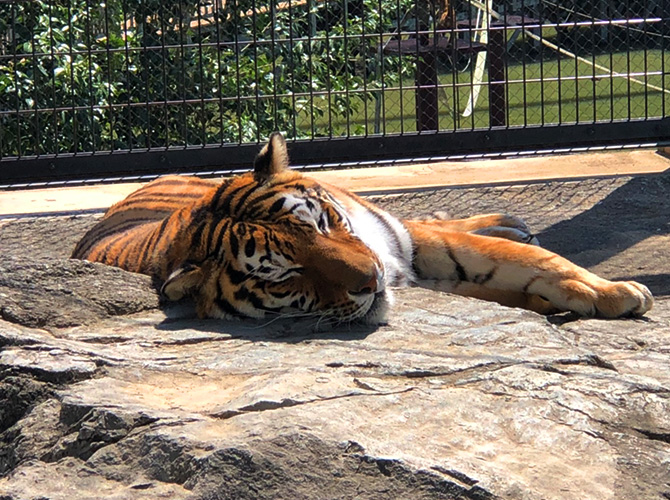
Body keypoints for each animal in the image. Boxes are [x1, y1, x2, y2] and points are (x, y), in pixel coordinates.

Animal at [72, 132, 656, 324]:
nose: (373, 282)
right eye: (284, 276)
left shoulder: (407, 242)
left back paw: (509, 224)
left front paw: (612, 292)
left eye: (322, 223)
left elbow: (535, 261)